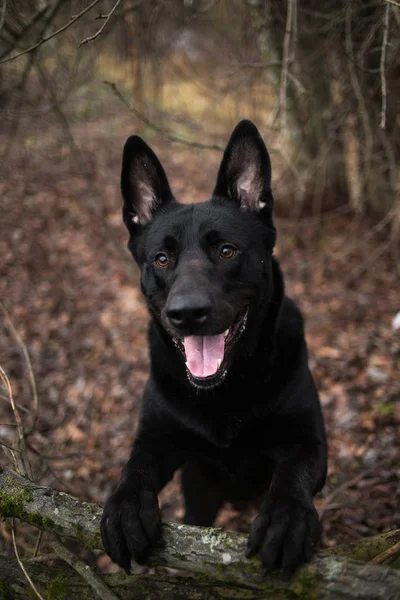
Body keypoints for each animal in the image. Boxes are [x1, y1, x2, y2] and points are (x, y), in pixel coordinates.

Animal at [101, 119, 328, 576]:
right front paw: (124, 508)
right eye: (162, 259)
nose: (187, 313)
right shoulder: (157, 439)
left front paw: (287, 519)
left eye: (226, 251)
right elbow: (134, 467)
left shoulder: (310, 442)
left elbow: (292, 473)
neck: (225, 391)